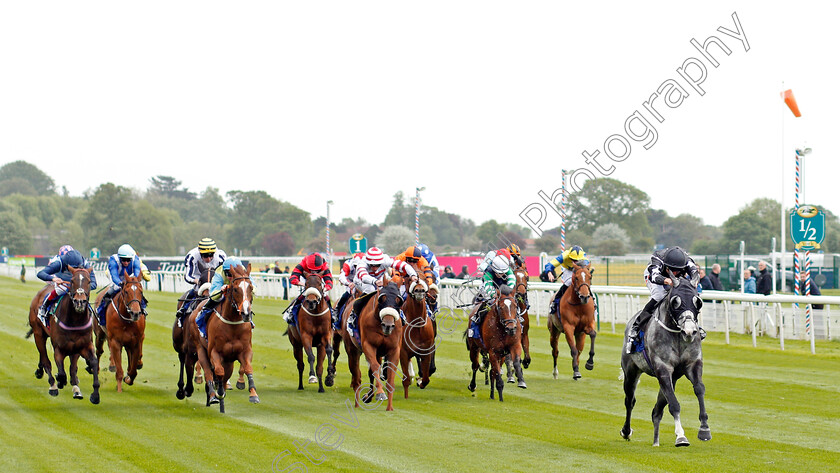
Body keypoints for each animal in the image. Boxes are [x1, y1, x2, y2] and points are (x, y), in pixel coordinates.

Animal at [26, 268, 101, 404]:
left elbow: (90, 363)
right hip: (39, 334)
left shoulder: (82, 346)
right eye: (72, 281)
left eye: (88, 281)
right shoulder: (59, 348)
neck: (75, 320)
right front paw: (60, 381)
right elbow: (61, 372)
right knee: (45, 359)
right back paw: (53, 385)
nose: (80, 302)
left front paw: (94, 395)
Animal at [188, 264, 260, 412]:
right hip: (201, 348)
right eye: (235, 289)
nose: (246, 313)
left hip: (229, 360)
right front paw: (218, 393)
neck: (232, 324)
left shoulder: (245, 351)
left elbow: (248, 368)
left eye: (250, 287)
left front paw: (253, 395)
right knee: (208, 371)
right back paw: (213, 395)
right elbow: (218, 372)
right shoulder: (215, 352)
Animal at [340, 280, 406, 410]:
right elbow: (375, 368)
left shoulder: (394, 349)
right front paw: (380, 393)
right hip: (352, 351)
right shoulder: (368, 346)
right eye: (382, 298)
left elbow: (389, 376)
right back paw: (357, 404)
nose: (388, 325)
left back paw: (368, 396)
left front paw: (390, 407)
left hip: (379, 353)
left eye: (399, 300)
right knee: (357, 377)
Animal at [616, 272, 708, 446]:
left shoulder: (692, 364)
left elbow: (699, 389)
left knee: (657, 411)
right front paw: (681, 436)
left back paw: (656, 442)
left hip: (672, 379)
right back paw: (626, 431)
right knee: (629, 400)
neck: (677, 335)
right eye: (675, 302)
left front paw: (704, 429)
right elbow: (674, 404)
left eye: (698, 302)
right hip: (631, 371)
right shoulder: (662, 368)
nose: (690, 331)